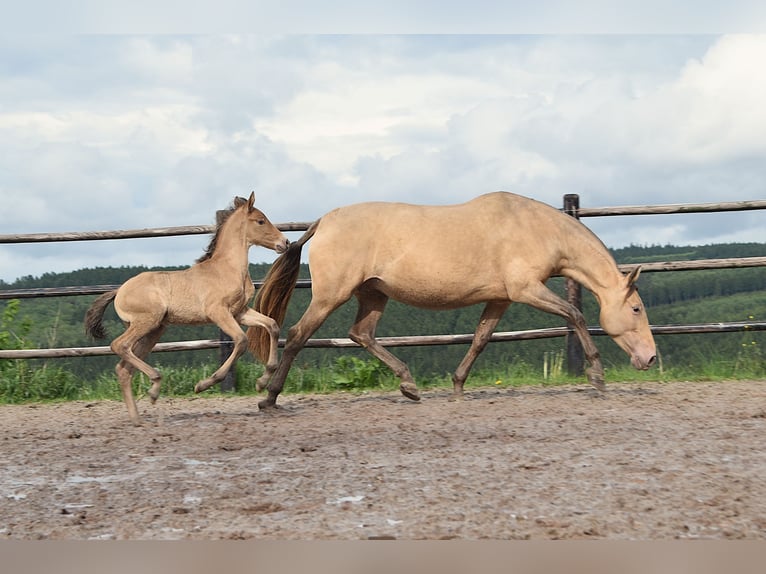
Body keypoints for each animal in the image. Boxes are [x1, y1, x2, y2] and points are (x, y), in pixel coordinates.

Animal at [85, 192, 289, 425]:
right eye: (261, 221)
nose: (285, 242)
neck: (227, 269)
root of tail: (119, 291)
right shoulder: (218, 312)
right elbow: (241, 340)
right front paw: (204, 384)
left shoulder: (240, 312)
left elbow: (272, 325)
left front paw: (262, 381)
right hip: (147, 322)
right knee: (119, 345)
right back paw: (154, 387)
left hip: (154, 330)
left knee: (123, 368)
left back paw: (138, 418)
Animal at [247, 191, 656, 410]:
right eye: (636, 308)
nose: (650, 359)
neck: (535, 228)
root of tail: (324, 222)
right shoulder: (526, 290)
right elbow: (574, 314)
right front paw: (597, 376)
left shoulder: (500, 299)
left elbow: (480, 339)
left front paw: (458, 385)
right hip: (332, 295)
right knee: (298, 335)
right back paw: (269, 397)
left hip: (373, 294)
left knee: (361, 334)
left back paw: (409, 386)